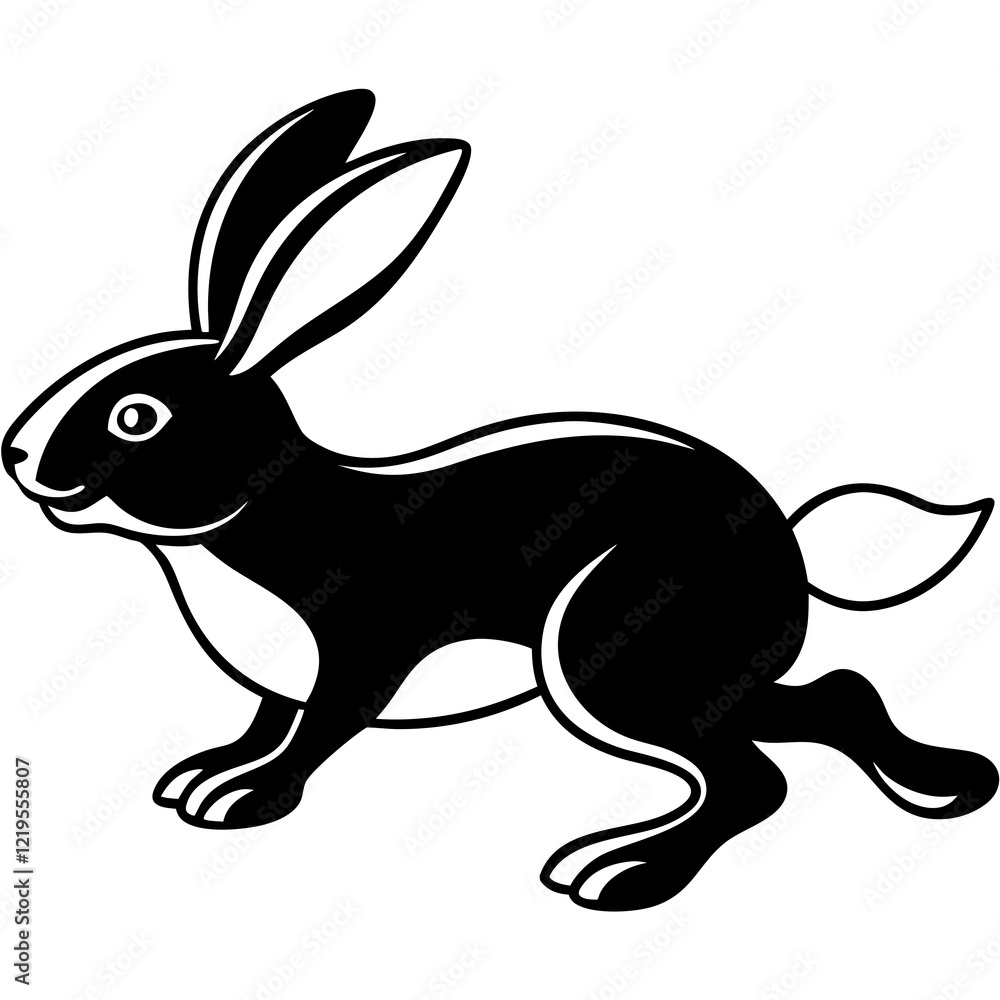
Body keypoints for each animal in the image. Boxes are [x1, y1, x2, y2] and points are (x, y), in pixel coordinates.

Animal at [3, 90, 997, 912]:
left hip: (611, 650)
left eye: (138, 416)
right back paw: (945, 785)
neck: (259, 508)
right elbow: (268, 719)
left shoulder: (362, 653)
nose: (15, 456)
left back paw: (617, 872)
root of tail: (784, 543)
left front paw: (246, 800)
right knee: (829, 699)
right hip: (699, 671)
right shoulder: (278, 680)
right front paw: (204, 777)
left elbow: (322, 728)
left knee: (751, 780)